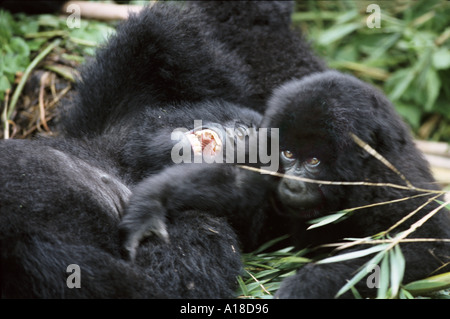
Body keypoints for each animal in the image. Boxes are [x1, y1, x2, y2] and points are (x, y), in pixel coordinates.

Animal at [120, 70, 450, 300]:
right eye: (288, 154)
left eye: (314, 161)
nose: (292, 185)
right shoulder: (264, 146)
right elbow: (239, 185)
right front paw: (154, 200)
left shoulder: (390, 182)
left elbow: (422, 246)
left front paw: (306, 284)